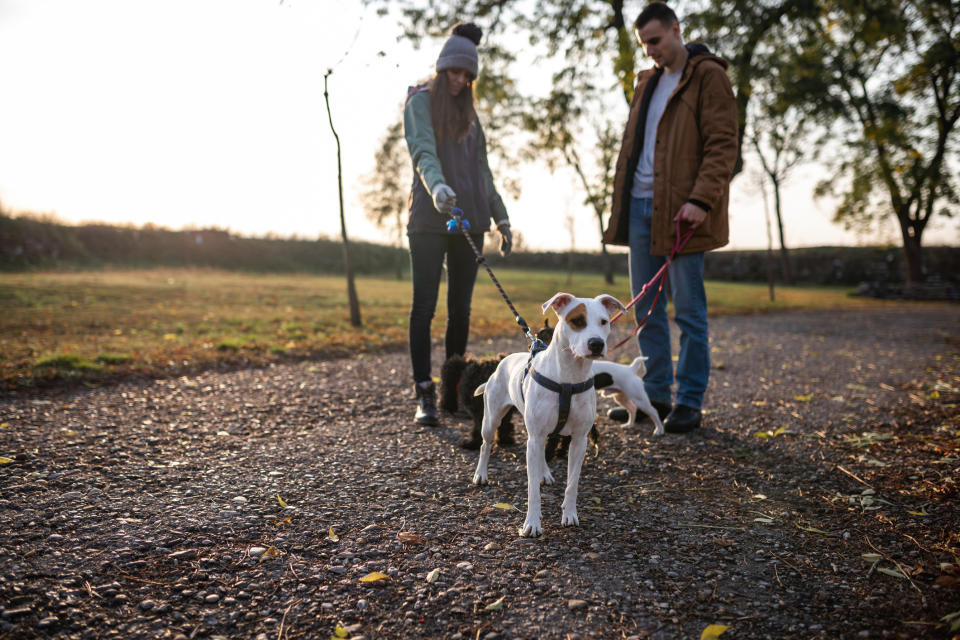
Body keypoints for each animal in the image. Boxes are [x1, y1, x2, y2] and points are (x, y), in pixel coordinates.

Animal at [470, 292, 624, 536]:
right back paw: (481, 475)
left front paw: (569, 514)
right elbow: (532, 489)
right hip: (492, 419)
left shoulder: (579, 440)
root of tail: (503, 361)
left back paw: (544, 473)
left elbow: (572, 483)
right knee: (486, 444)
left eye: (604, 321)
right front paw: (532, 523)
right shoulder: (534, 437)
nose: (597, 343)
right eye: (577, 321)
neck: (569, 376)